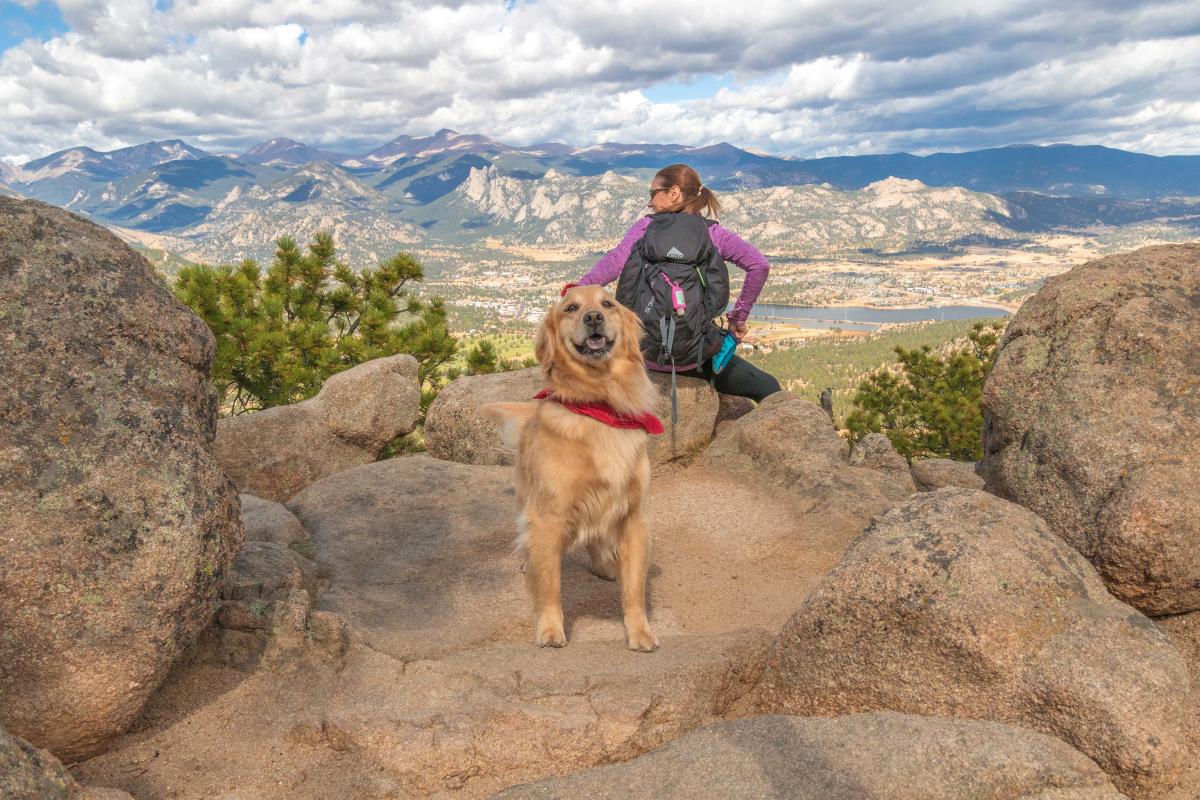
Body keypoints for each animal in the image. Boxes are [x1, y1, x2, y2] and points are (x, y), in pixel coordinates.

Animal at [480, 286, 667, 652]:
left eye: (608, 303)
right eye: (570, 308)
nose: (593, 317)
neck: (599, 403)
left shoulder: (633, 517)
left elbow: (634, 588)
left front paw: (640, 631)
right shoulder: (549, 516)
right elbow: (550, 584)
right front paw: (551, 628)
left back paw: (606, 565)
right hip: (527, 497)